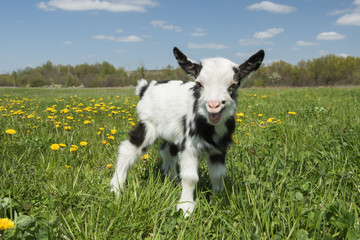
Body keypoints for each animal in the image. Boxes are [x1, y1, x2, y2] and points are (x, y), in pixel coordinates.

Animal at [109, 47, 264, 218]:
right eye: (199, 84)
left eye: (233, 85)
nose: (214, 105)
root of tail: (146, 88)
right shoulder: (190, 145)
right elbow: (190, 177)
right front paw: (185, 207)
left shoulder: (219, 147)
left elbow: (218, 174)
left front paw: (219, 199)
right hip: (148, 124)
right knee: (128, 149)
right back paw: (116, 188)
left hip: (173, 131)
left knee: (167, 152)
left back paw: (173, 182)